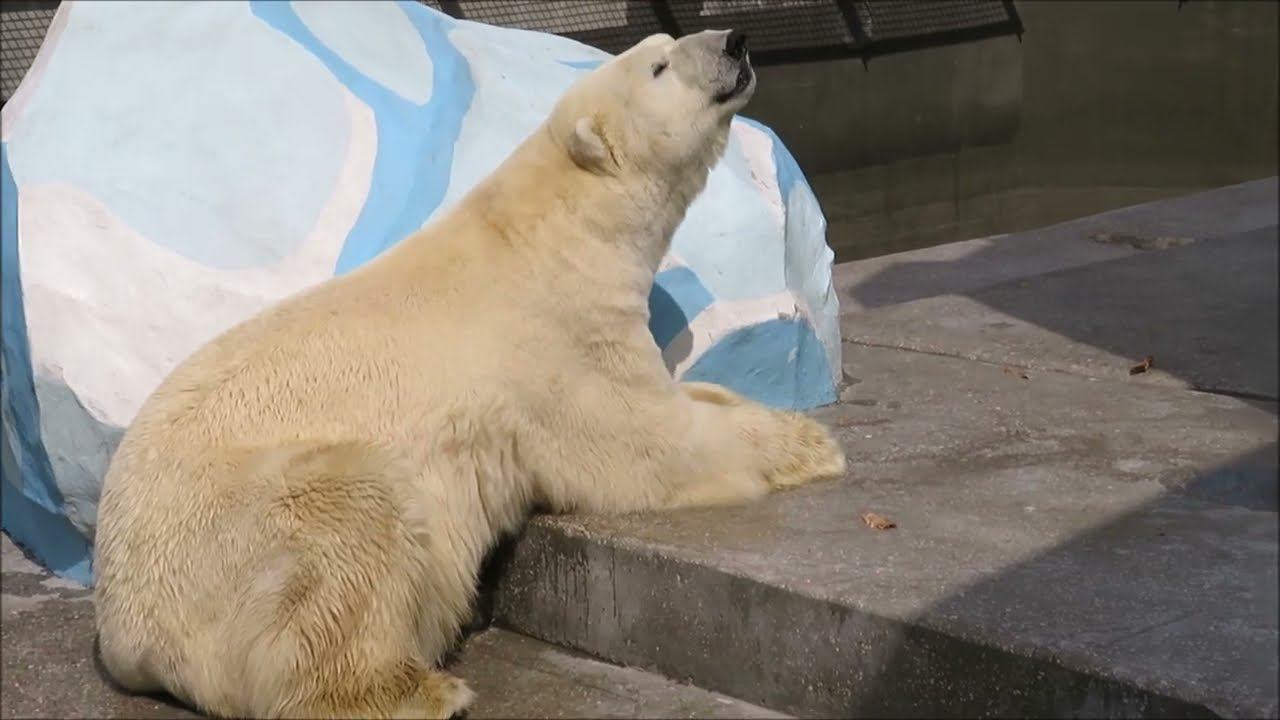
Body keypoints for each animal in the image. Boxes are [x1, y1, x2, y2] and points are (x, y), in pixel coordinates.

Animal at [92, 29, 846, 719]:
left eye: (666, 46)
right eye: (660, 64)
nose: (734, 40)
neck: (555, 231)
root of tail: (125, 634)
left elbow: (684, 394)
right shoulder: (556, 341)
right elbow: (650, 444)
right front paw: (814, 447)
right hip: (238, 527)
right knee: (352, 522)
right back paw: (413, 690)